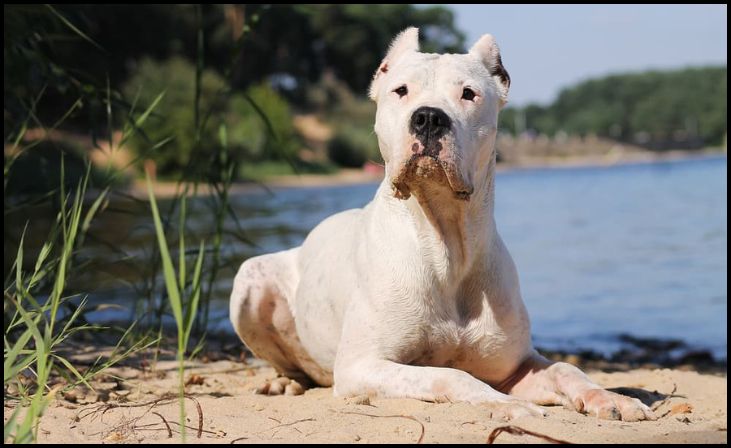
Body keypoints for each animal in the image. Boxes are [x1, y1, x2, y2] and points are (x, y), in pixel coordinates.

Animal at [230, 28, 656, 420]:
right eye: (400, 90)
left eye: (469, 93)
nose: (429, 117)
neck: (446, 244)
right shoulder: (361, 366)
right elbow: (450, 375)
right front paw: (509, 405)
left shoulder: (515, 365)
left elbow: (567, 369)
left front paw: (611, 398)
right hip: (250, 280)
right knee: (290, 362)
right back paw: (283, 382)